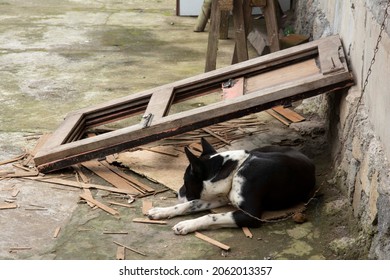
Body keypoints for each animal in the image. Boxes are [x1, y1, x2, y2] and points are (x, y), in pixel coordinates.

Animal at [148, 138, 316, 234]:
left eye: (185, 182)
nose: (178, 193)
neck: (236, 169)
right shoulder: (221, 197)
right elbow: (191, 204)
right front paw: (161, 211)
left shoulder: (250, 215)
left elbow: (212, 216)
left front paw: (187, 224)